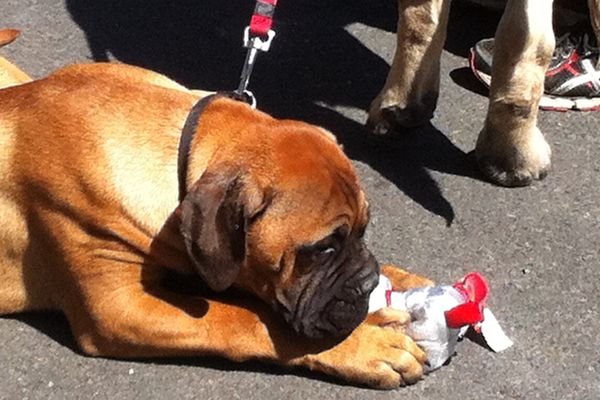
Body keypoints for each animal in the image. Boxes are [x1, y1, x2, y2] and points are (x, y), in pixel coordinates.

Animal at [0, 32, 432, 390]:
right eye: (322, 248)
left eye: (363, 230)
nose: (367, 284)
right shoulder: (119, 308)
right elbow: (247, 318)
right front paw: (366, 345)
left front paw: (400, 279)